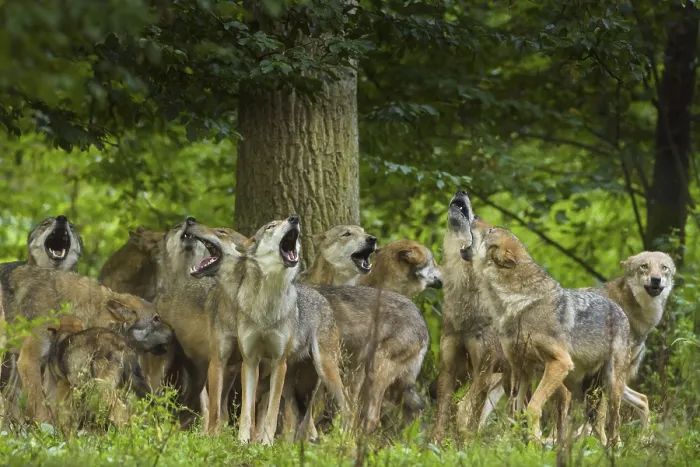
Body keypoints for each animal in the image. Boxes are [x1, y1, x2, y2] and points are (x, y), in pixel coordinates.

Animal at [463, 223, 631, 445]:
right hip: (576, 388)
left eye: (491, 231)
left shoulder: (559, 363)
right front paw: (514, 443)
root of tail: (620, 309)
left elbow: (533, 406)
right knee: (592, 423)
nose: (474, 217)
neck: (518, 305)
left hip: (609, 387)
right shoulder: (521, 369)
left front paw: (535, 441)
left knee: (613, 422)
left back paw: (612, 447)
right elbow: (515, 411)